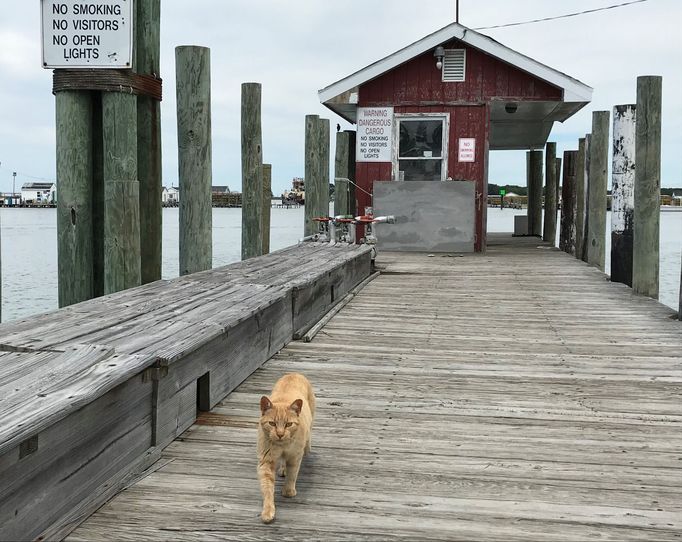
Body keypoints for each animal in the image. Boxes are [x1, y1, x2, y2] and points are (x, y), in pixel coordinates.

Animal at [256, 376, 314, 524]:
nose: (280, 434)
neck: (282, 446)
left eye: (288, 424)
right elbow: (267, 487)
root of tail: (294, 373)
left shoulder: (295, 456)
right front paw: (268, 511)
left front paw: (288, 490)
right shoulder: (267, 460)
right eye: (272, 423)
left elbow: (293, 474)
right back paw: (282, 469)